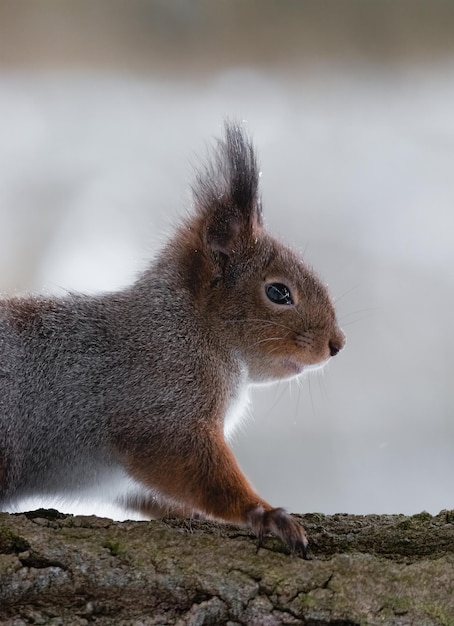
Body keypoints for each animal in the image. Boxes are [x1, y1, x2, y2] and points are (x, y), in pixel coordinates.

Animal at [0, 122, 344, 556]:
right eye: (279, 292)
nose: (337, 344)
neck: (191, 329)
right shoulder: (162, 408)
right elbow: (193, 468)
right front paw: (265, 514)